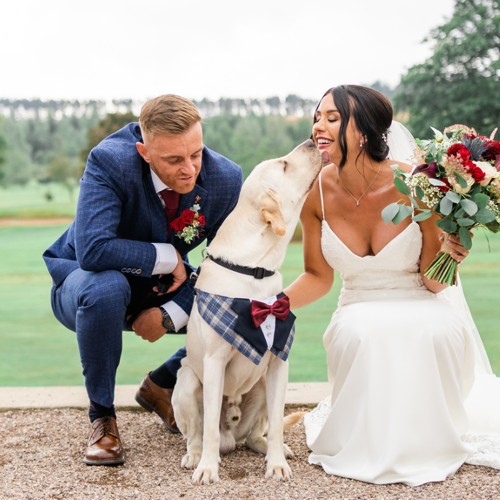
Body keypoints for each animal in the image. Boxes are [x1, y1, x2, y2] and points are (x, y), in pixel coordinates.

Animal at [170, 139, 322, 482]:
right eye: (283, 165)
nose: (311, 139)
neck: (254, 270)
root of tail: (233, 438)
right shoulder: (213, 362)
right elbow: (210, 429)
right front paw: (208, 468)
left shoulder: (279, 362)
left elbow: (277, 425)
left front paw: (277, 464)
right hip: (187, 381)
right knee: (196, 433)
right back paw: (195, 456)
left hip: (262, 385)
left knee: (256, 435)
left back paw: (270, 450)